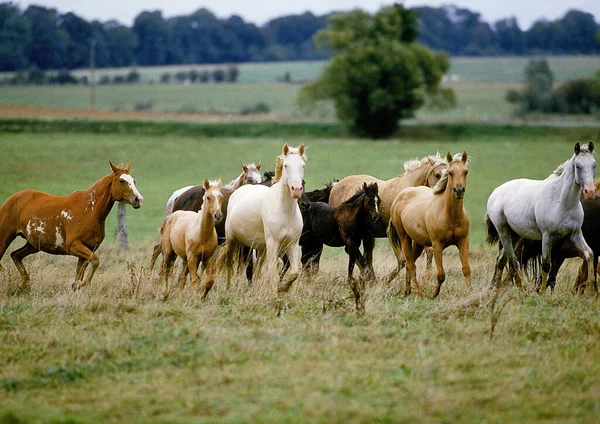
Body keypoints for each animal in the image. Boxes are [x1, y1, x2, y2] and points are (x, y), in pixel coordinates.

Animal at [0, 162, 143, 292]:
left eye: (134, 181)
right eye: (121, 181)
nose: (138, 199)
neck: (89, 210)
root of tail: (11, 200)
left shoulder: (88, 249)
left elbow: (80, 274)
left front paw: (78, 285)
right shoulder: (73, 246)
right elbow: (95, 261)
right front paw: (83, 283)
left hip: (33, 245)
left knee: (15, 255)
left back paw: (22, 285)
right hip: (5, 238)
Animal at [223, 142, 304, 292]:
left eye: (303, 165)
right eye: (286, 165)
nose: (296, 189)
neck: (285, 211)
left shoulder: (292, 244)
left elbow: (295, 272)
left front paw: (283, 288)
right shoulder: (273, 243)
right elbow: (273, 273)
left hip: (261, 248)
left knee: (258, 268)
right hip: (232, 240)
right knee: (230, 264)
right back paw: (228, 288)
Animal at [386, 152, 472, 298]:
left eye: (465, 171)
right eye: (450, 172)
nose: (459, 190)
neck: (450, 215)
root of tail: (400, 195)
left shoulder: (463, 241)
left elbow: (466, 269)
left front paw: (472, 294)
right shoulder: (437, 244)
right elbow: (441, 275)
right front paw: (433, 295)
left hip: (418, 244)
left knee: (409, 263)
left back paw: (407, 291)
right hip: (404, 238)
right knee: (410, 265)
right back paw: (419, 293)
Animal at [486, 142, 596, 294]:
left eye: (594, 165)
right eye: (578, 166)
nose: (590, 191)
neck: (561, 202)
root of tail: (496, 192)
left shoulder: (575, 234)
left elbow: (589, 254)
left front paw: (592, 290)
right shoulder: (547, 236)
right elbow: (546, 265)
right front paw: (541, 293)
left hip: (515, 235)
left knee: (502, 260)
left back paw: (495, 288)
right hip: (503, 231)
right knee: (513, 260)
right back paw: (526, 289)